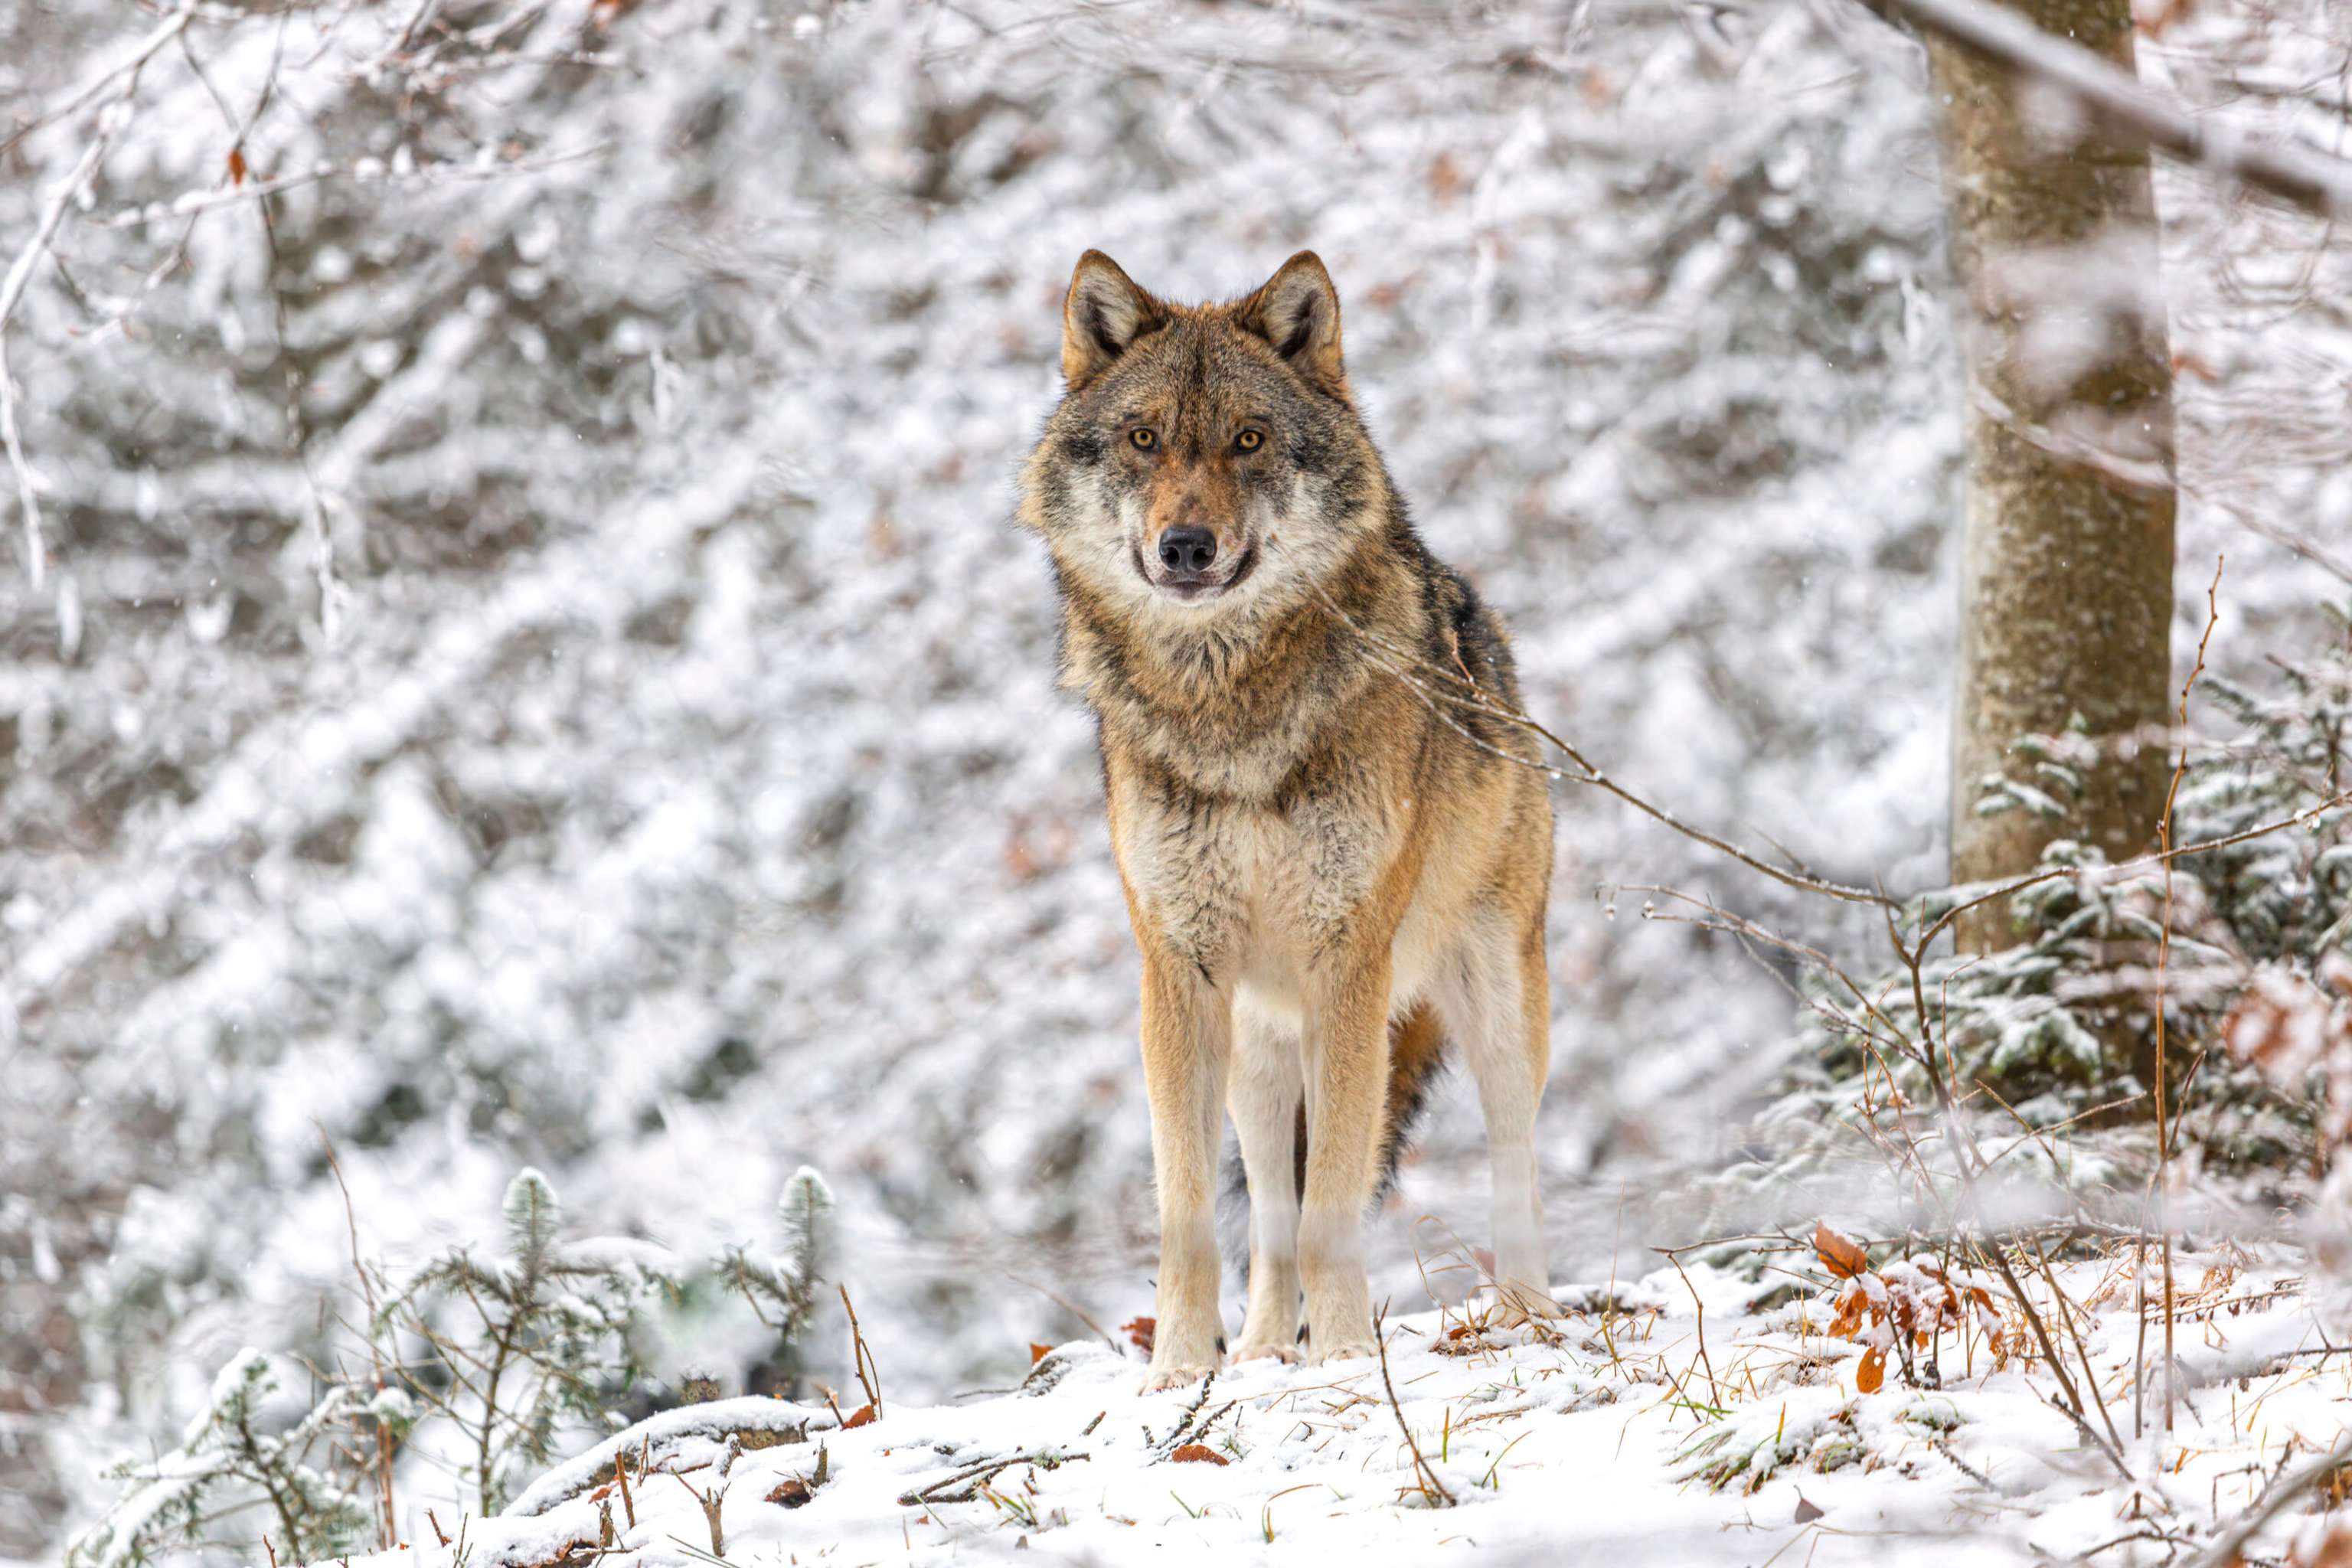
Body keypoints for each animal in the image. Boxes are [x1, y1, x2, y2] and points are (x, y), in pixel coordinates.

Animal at [1018, 250, 1559, 1390]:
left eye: (1249, 439)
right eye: (1145, 439)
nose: (1185, 545)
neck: (1229, 708)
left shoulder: (1348, 965)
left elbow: (1334, 1206)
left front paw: (1347, 1354)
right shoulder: (1177, 974)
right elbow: (1194, 1216)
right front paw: (1181, 1371)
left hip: (1494, 999)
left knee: (1513, 1150)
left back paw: (1527, 1314)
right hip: (1257, 1052)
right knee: (1267, 1198)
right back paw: (1267, 1347)